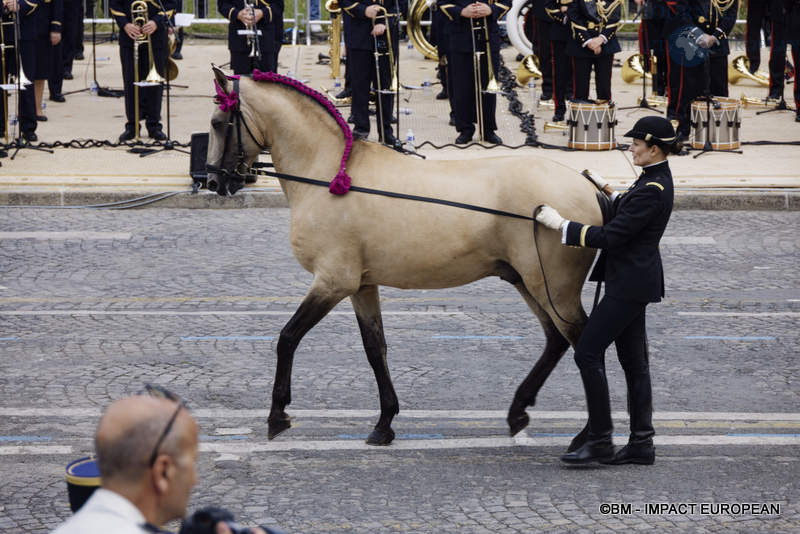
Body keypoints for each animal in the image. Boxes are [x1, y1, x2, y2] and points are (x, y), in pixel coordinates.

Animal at [203, 67, 604, 448]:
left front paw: (278, 416)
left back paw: (591, 436)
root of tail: (588, 184)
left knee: (583, 341)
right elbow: (374, 349)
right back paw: (519, 412)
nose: (213, 182)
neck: (329, 175)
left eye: (218, 122)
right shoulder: (361, 285)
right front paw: (384, 423)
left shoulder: (333, 281)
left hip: (553, 287)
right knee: (555, 339)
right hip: (527, 281)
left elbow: (288, 337)